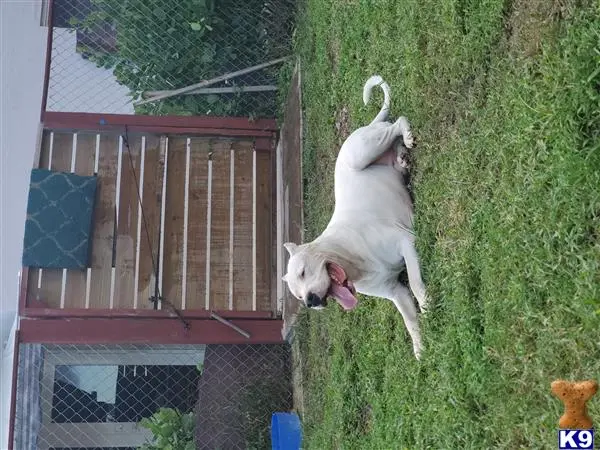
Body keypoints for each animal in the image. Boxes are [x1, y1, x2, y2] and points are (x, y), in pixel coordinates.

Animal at [284, 75, 428, 360]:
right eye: (297, 297)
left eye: (304, 272)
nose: (311, 301)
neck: (349, 258)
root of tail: (368, 125)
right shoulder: (395, 292)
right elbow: (409, 319)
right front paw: (421, 347)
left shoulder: (407, 241)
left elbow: (417, 284)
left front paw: (427, 303)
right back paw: (401, 158)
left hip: (361, 153)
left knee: (396, 122)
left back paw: (406, 135)